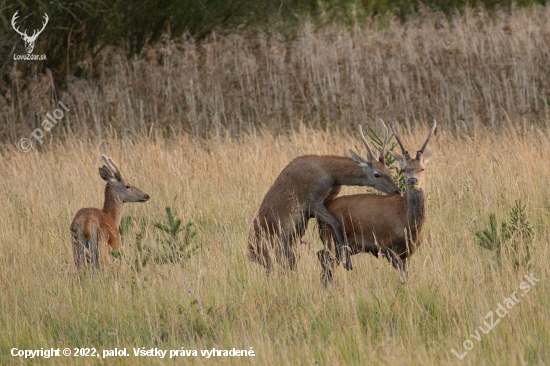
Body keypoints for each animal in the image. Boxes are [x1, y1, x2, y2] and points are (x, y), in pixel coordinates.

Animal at [249, 120, 402, 272]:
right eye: (377, 174)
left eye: (388, 170)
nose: (397, 190)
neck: (331, 175)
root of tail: (250, 254)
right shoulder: (312, 201)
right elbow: (335, 221)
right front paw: (347, 262)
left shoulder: (318, 206)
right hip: (271, 246)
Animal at [316, 116, 438, 284]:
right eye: (404, 169)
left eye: (422, 168)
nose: (412, 180)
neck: (408, 226)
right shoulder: (387, 246)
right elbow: (402, 278)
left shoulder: (408, 252)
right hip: (331, 237)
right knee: (325, 262)